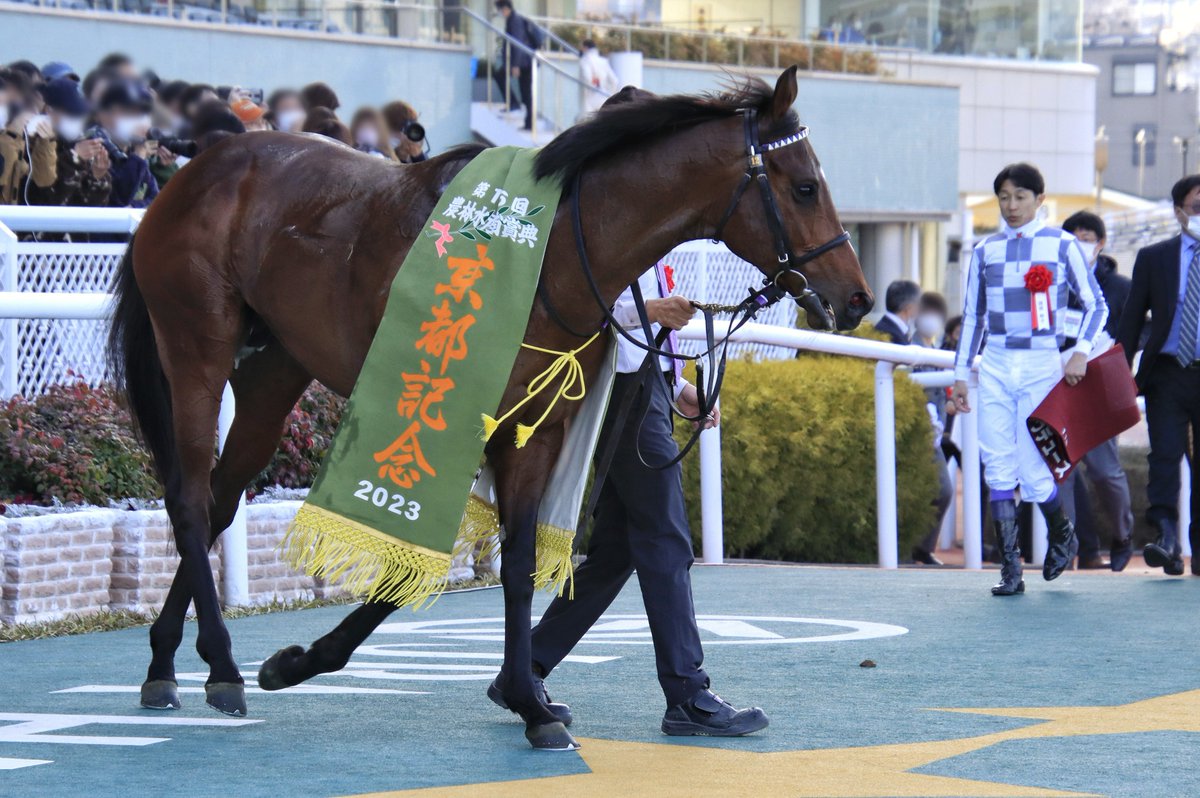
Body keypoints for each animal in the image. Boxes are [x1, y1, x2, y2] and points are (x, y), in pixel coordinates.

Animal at [107, 66, 873, 751]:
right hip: (196, 345)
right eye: (805, 186)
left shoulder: (535, 430)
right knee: (187, 497)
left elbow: (519, 561)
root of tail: (197, 174)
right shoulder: (457, 418)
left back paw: (166, 659)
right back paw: (222, 666)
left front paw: (530, 701)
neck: (558, 249)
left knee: (219, 500)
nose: (858, 297)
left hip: (274, 369)